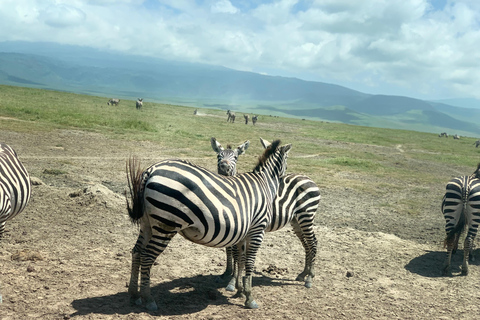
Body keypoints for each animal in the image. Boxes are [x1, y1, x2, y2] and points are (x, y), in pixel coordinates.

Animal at [125, 140, 290, 310]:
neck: (264, 183)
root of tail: (151, 170)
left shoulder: (245, 232)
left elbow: (241, 259)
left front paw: (239, 290)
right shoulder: (258, 229)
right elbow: (249, 262)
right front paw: (249, 297)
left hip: (147, 223)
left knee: (137, 252)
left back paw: (134, 295)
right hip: (166, 224)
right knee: (147, 257)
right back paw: (148, 299)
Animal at [212, 138, 320, 290]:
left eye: (235, 157)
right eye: (218, 156)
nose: (223, 168)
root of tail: (307, 177)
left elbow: (236, 253)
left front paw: (232, 280)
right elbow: (230, 250)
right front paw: (227, 273)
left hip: (306, 215)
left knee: (313, 242)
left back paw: (310, 277)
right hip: (296, 220)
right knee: (307, 244)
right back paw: (304, 273)